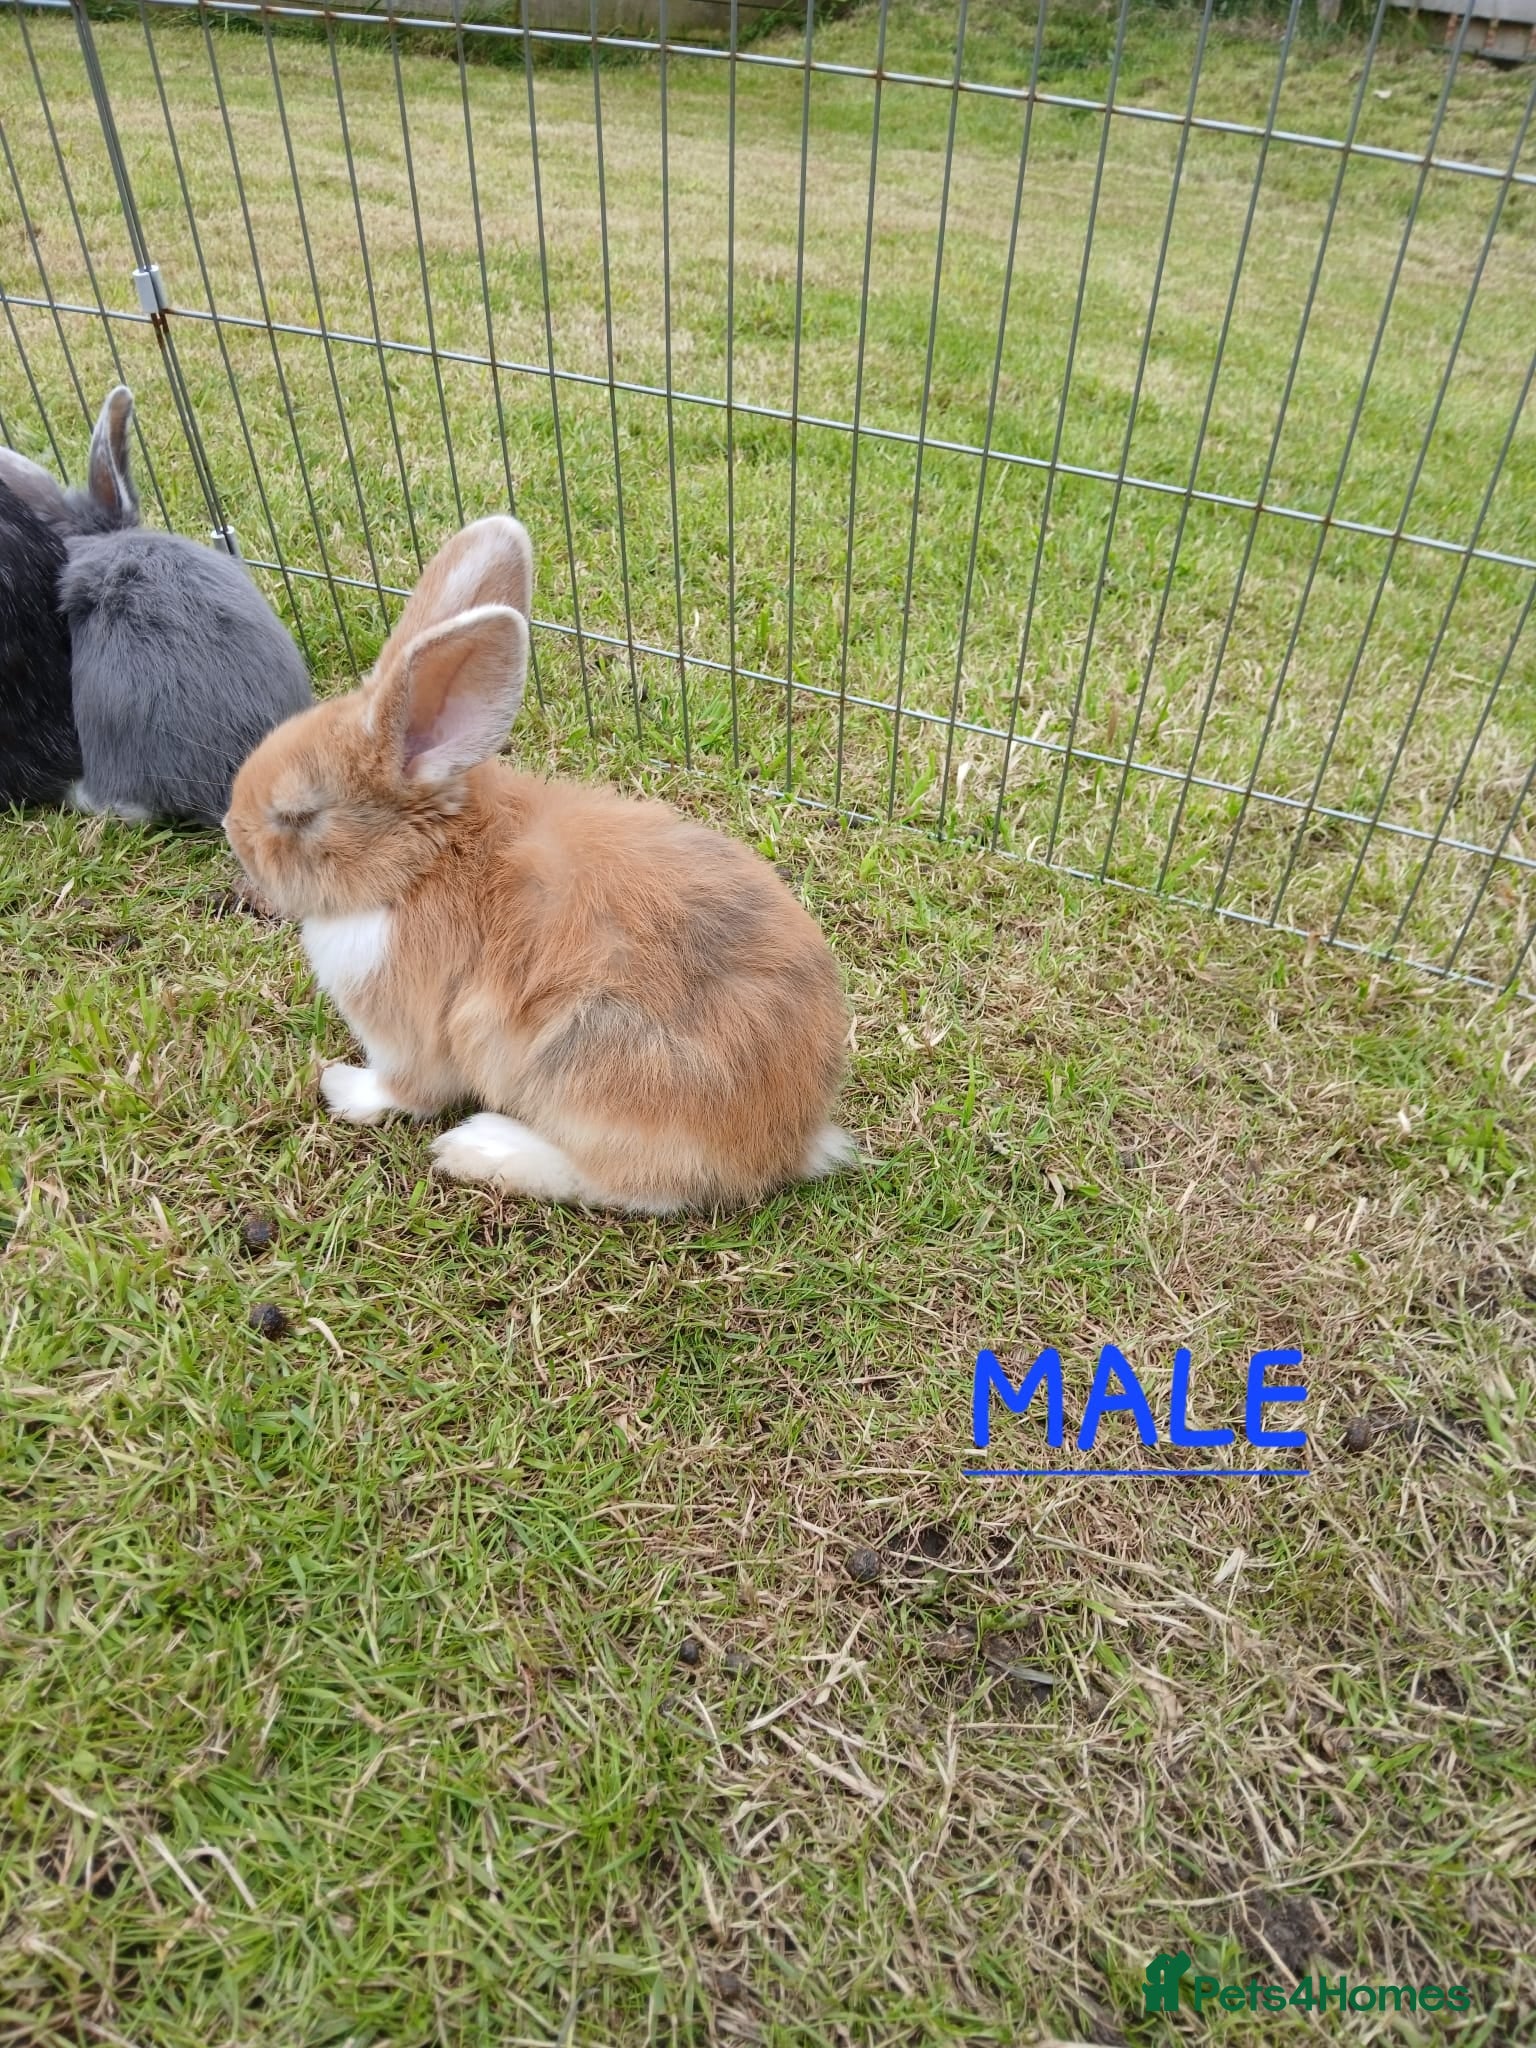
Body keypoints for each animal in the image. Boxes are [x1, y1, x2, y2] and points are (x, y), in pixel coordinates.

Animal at [223, 515, 857, 1215]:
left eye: (298, 815)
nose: (232, 833)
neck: (418, 867)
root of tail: (791, 1138)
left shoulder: (407, 1033)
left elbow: (407, 1089)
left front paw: (343, 1089)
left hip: (594, 1070)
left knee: (627, 1183)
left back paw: (483, 1148)